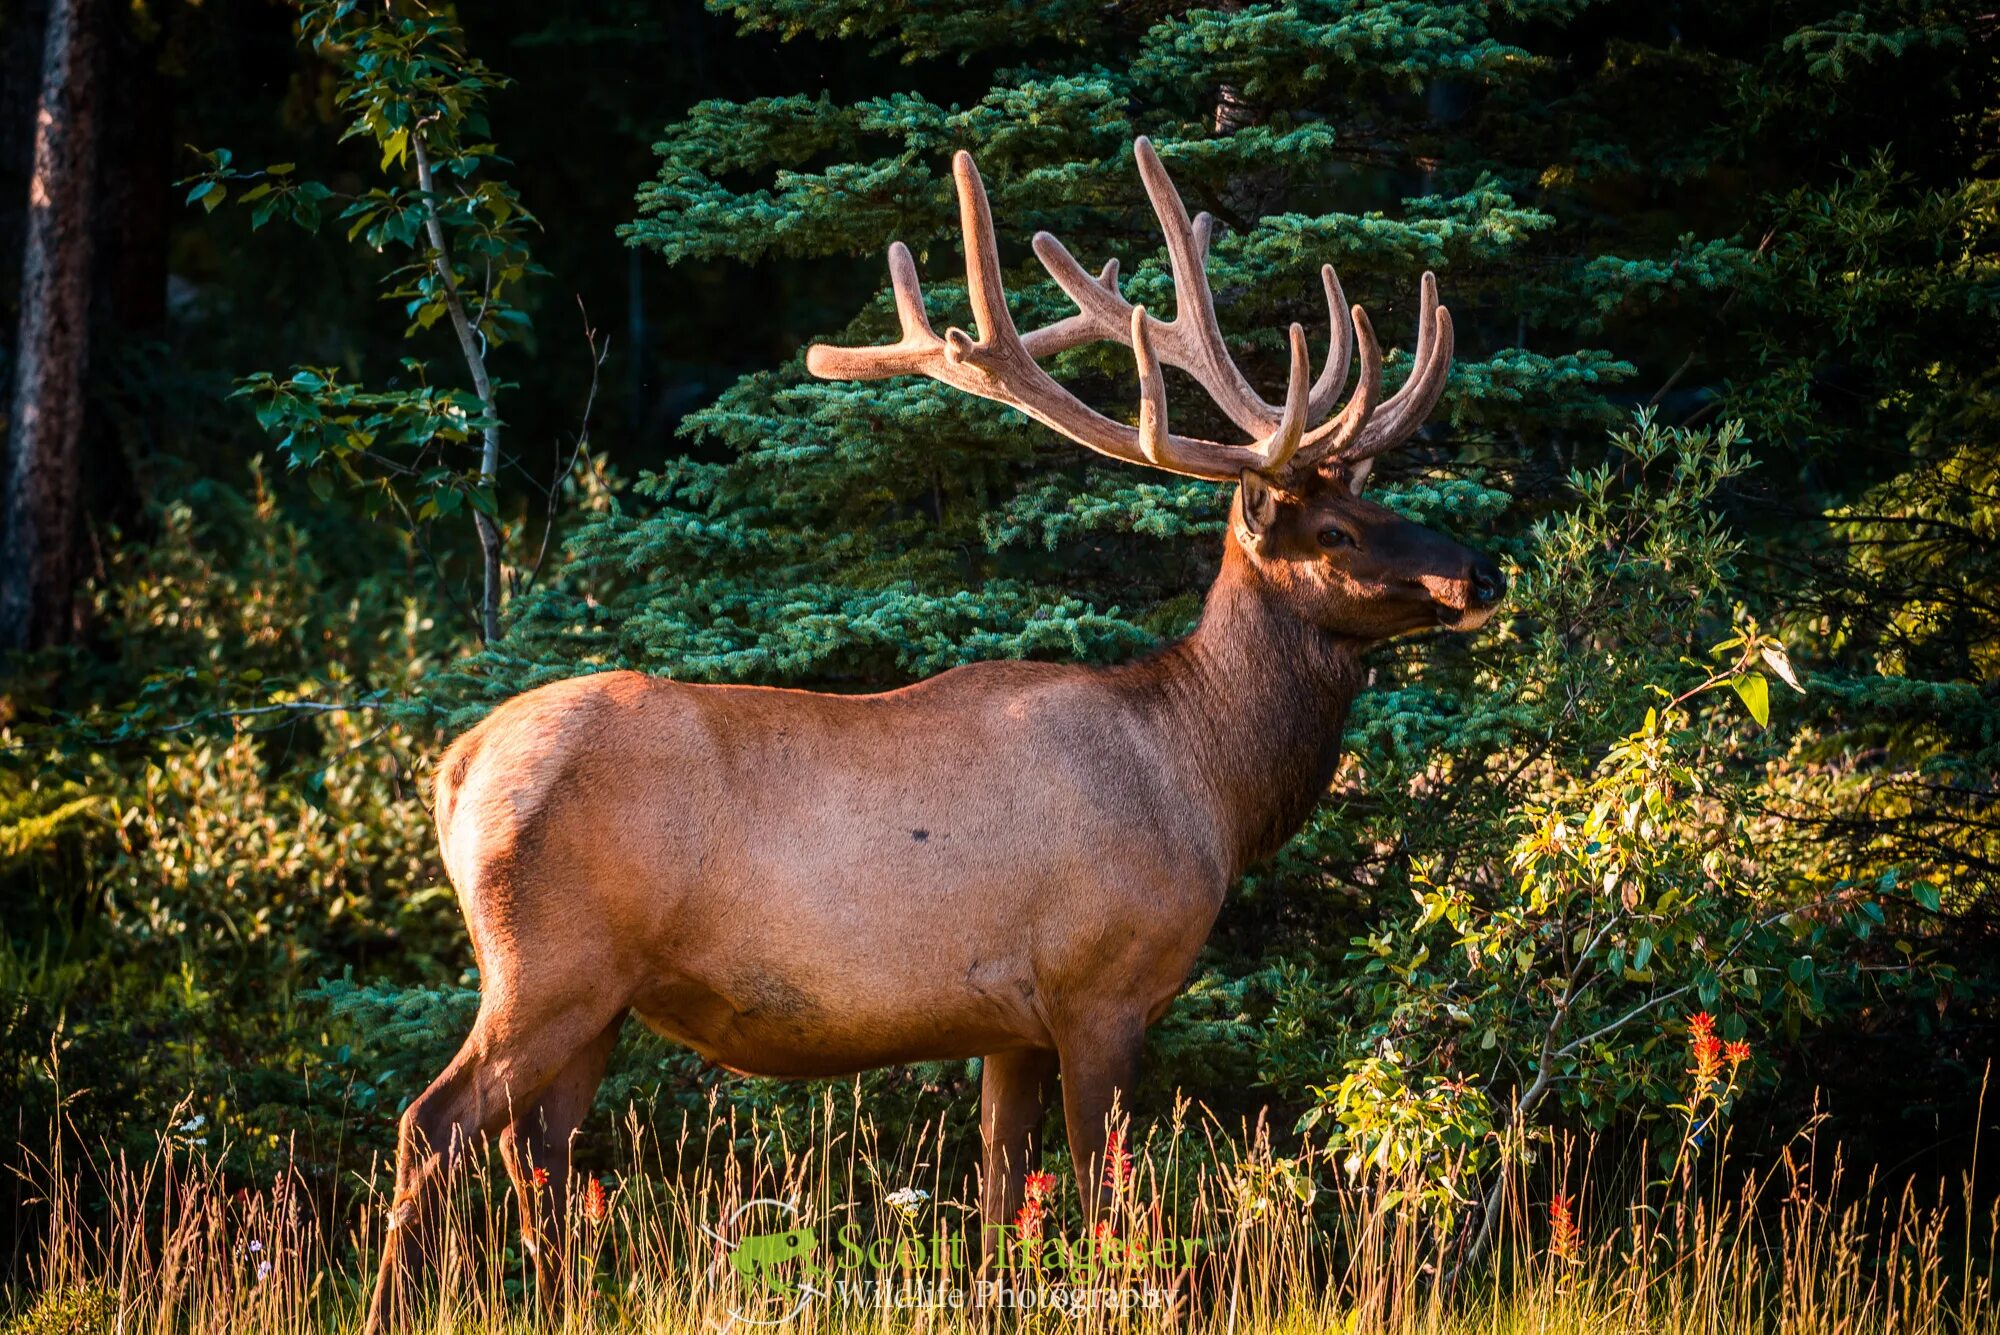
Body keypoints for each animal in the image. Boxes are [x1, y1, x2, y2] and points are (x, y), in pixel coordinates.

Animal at [364, 132, 1504, 1327]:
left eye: (1381, 497)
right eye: (1335, 531)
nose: (1481, 571)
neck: (1205, 781)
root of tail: (456, 769)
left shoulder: (1007, 1025)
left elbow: (1003, 1202)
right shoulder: (1102, 984)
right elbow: (1104, 1200)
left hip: (595, 997)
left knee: (534, 1151)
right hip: (548, 962)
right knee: (434, 1126)